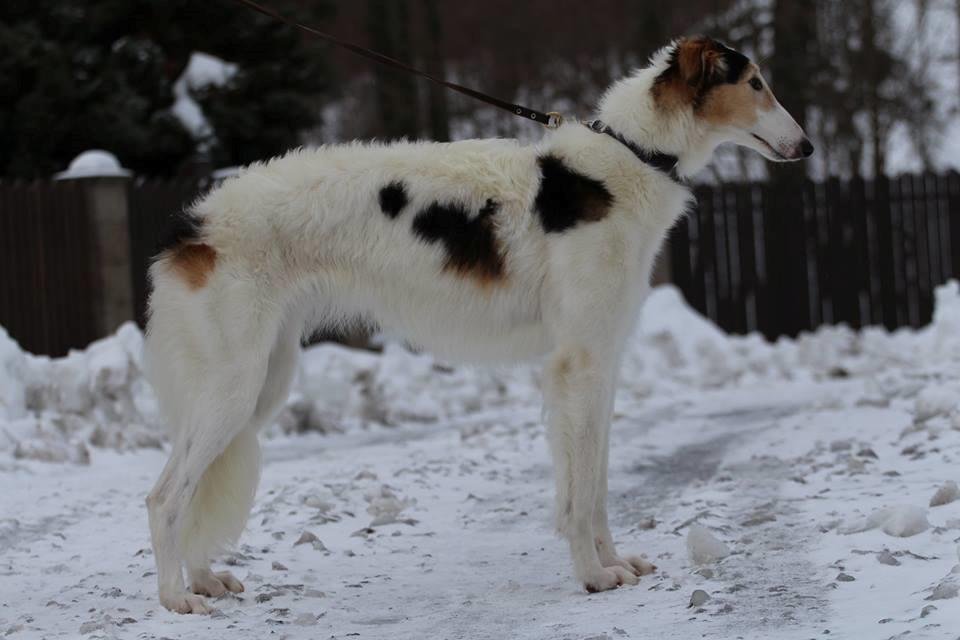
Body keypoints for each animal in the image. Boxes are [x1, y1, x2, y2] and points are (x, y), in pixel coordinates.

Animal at [146, 36, 812, 616]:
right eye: (755, 82)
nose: (806, 146)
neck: (629, 157)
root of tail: (193, 225)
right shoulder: (577, 366)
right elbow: (578, 497)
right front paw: (593, 575)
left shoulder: (603, 362)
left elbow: (596, 485)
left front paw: (615, 563)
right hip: (233, 385)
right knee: (165, 496)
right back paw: (175, 597)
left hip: (262, 382)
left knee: (195, 488)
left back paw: (203, 579)